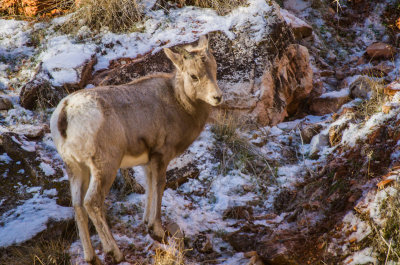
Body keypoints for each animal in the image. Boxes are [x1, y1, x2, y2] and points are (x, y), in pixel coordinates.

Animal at [50, 36, 222, 262]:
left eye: (215, 69)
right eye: (194, 76)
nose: (217, 97)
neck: (178, 103)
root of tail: (65, 113)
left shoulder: (147, 162)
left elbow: (149, 187)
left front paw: (147, 224)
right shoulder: (161, 156)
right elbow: (159, 186)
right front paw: (157, 230)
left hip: (76, 168)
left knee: (77, 205)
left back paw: (92, 257)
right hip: (105, 166)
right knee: (92, 203)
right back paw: (115, 252)